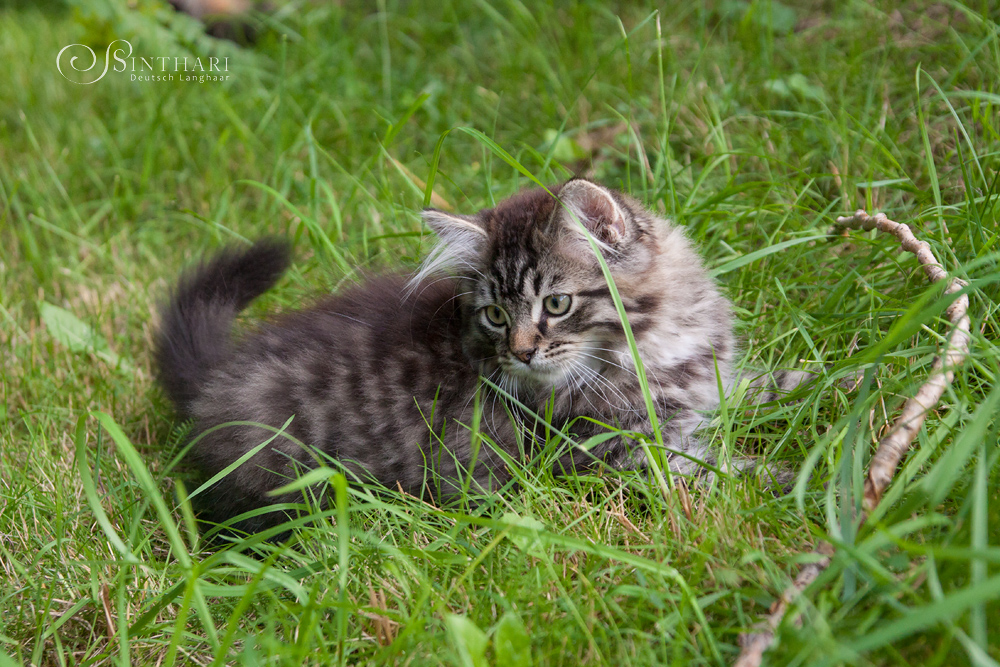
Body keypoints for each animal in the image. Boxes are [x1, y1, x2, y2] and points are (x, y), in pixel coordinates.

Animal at [156, 180, 776, 536]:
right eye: (495, 315)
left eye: (556, 304)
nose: (521, 354)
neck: (652, 345)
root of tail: (217, 377)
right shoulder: (617, 453)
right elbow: (727, 474)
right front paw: (791, 484)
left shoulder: (711, 384)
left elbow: (765, 383)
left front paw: (799, 390)